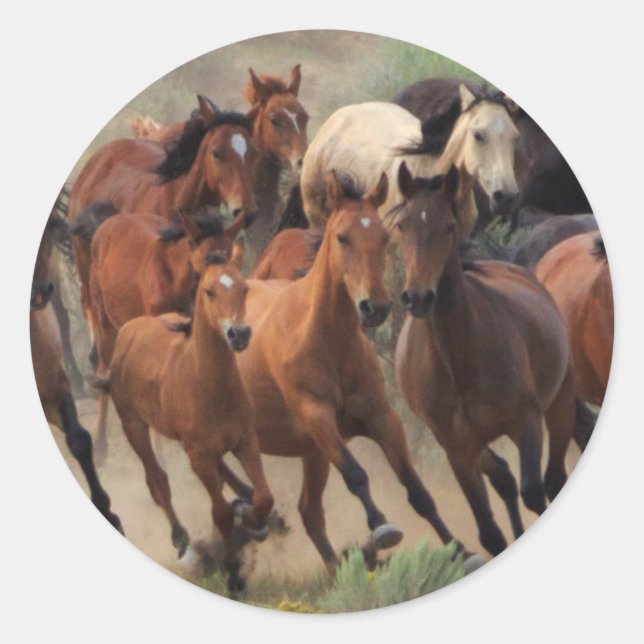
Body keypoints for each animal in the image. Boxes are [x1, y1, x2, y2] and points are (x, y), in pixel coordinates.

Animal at [73, 206, 246, 462]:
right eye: (205, 260)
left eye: (232, 258)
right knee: (103, 369)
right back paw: (101, 447)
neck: (175, 279)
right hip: (105, 323)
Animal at [108, 250, 273, 593]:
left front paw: (255, 521)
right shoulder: (198, 454)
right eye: (209, 291)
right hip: (134, 424)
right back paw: (182, 540)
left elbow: (264, 496)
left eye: (244, 289)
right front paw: (234, 574)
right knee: (157, 480)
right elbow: (220, 513)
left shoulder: (245, 439)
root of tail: (129, 330)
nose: (239, 334)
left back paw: (244, 500)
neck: (208, 384)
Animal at [237, 171, 456, 570]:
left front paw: (459, 550)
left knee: (309, 511)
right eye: (342, 237)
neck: (326, 339)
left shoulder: (381, 416)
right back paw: (251, 516)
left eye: (384, 237)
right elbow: (355, 473)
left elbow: (415, 487)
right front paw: (382, 526)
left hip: (310, 453)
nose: (375, 307)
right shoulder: (317, 417)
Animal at [394, 162, 577, 556]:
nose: (418, 298)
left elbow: (533, 492)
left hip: (560, 404)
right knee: (505, 478)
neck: (459, 359)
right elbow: (490, 532)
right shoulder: (457, 449)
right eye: (402, 225)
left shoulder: (526, 421)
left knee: (553, 479)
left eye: (449, 225)